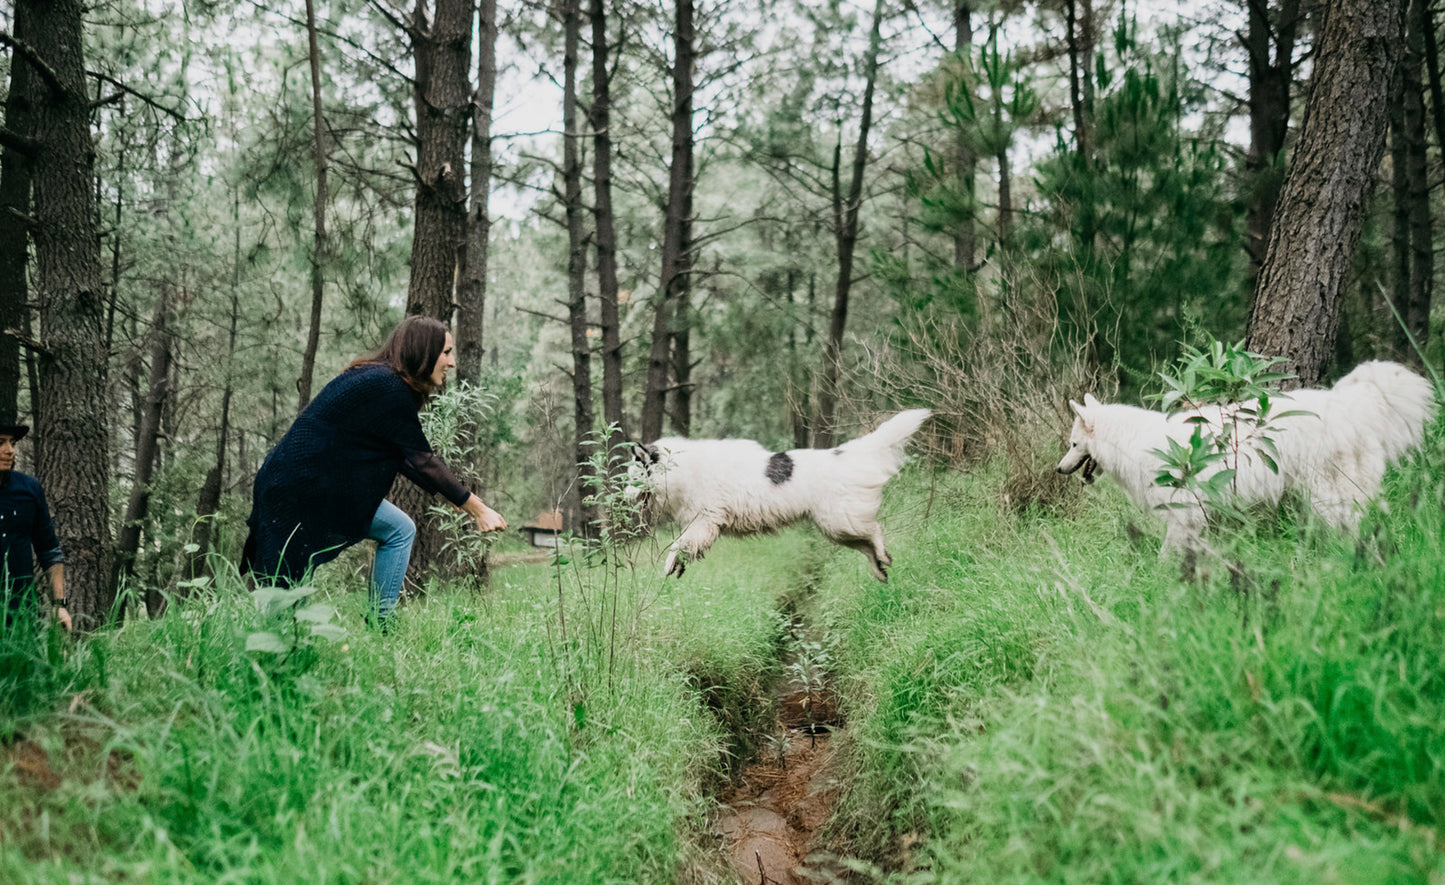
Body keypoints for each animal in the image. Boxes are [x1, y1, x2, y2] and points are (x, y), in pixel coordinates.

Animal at [630, 410, 924, 584]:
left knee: (875, 531)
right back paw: (881, 569)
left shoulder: (704, 521)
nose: (624, 496)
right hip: (837, 530)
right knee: (868, 546)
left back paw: (883, 557)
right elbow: (683, 547)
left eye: (634, 476)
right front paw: (677, 566)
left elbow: (677, 545)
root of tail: (842, 454)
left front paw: (669, 564)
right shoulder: (700, 525)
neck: (679, 470)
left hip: (841, 522)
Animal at [1057, 360, 1439, 552]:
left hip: (1329, 497)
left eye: (1073, 445)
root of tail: (1352, 405)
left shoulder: (1185, 514)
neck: (1132, 441)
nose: (1058, 469)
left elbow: (1169, 554)